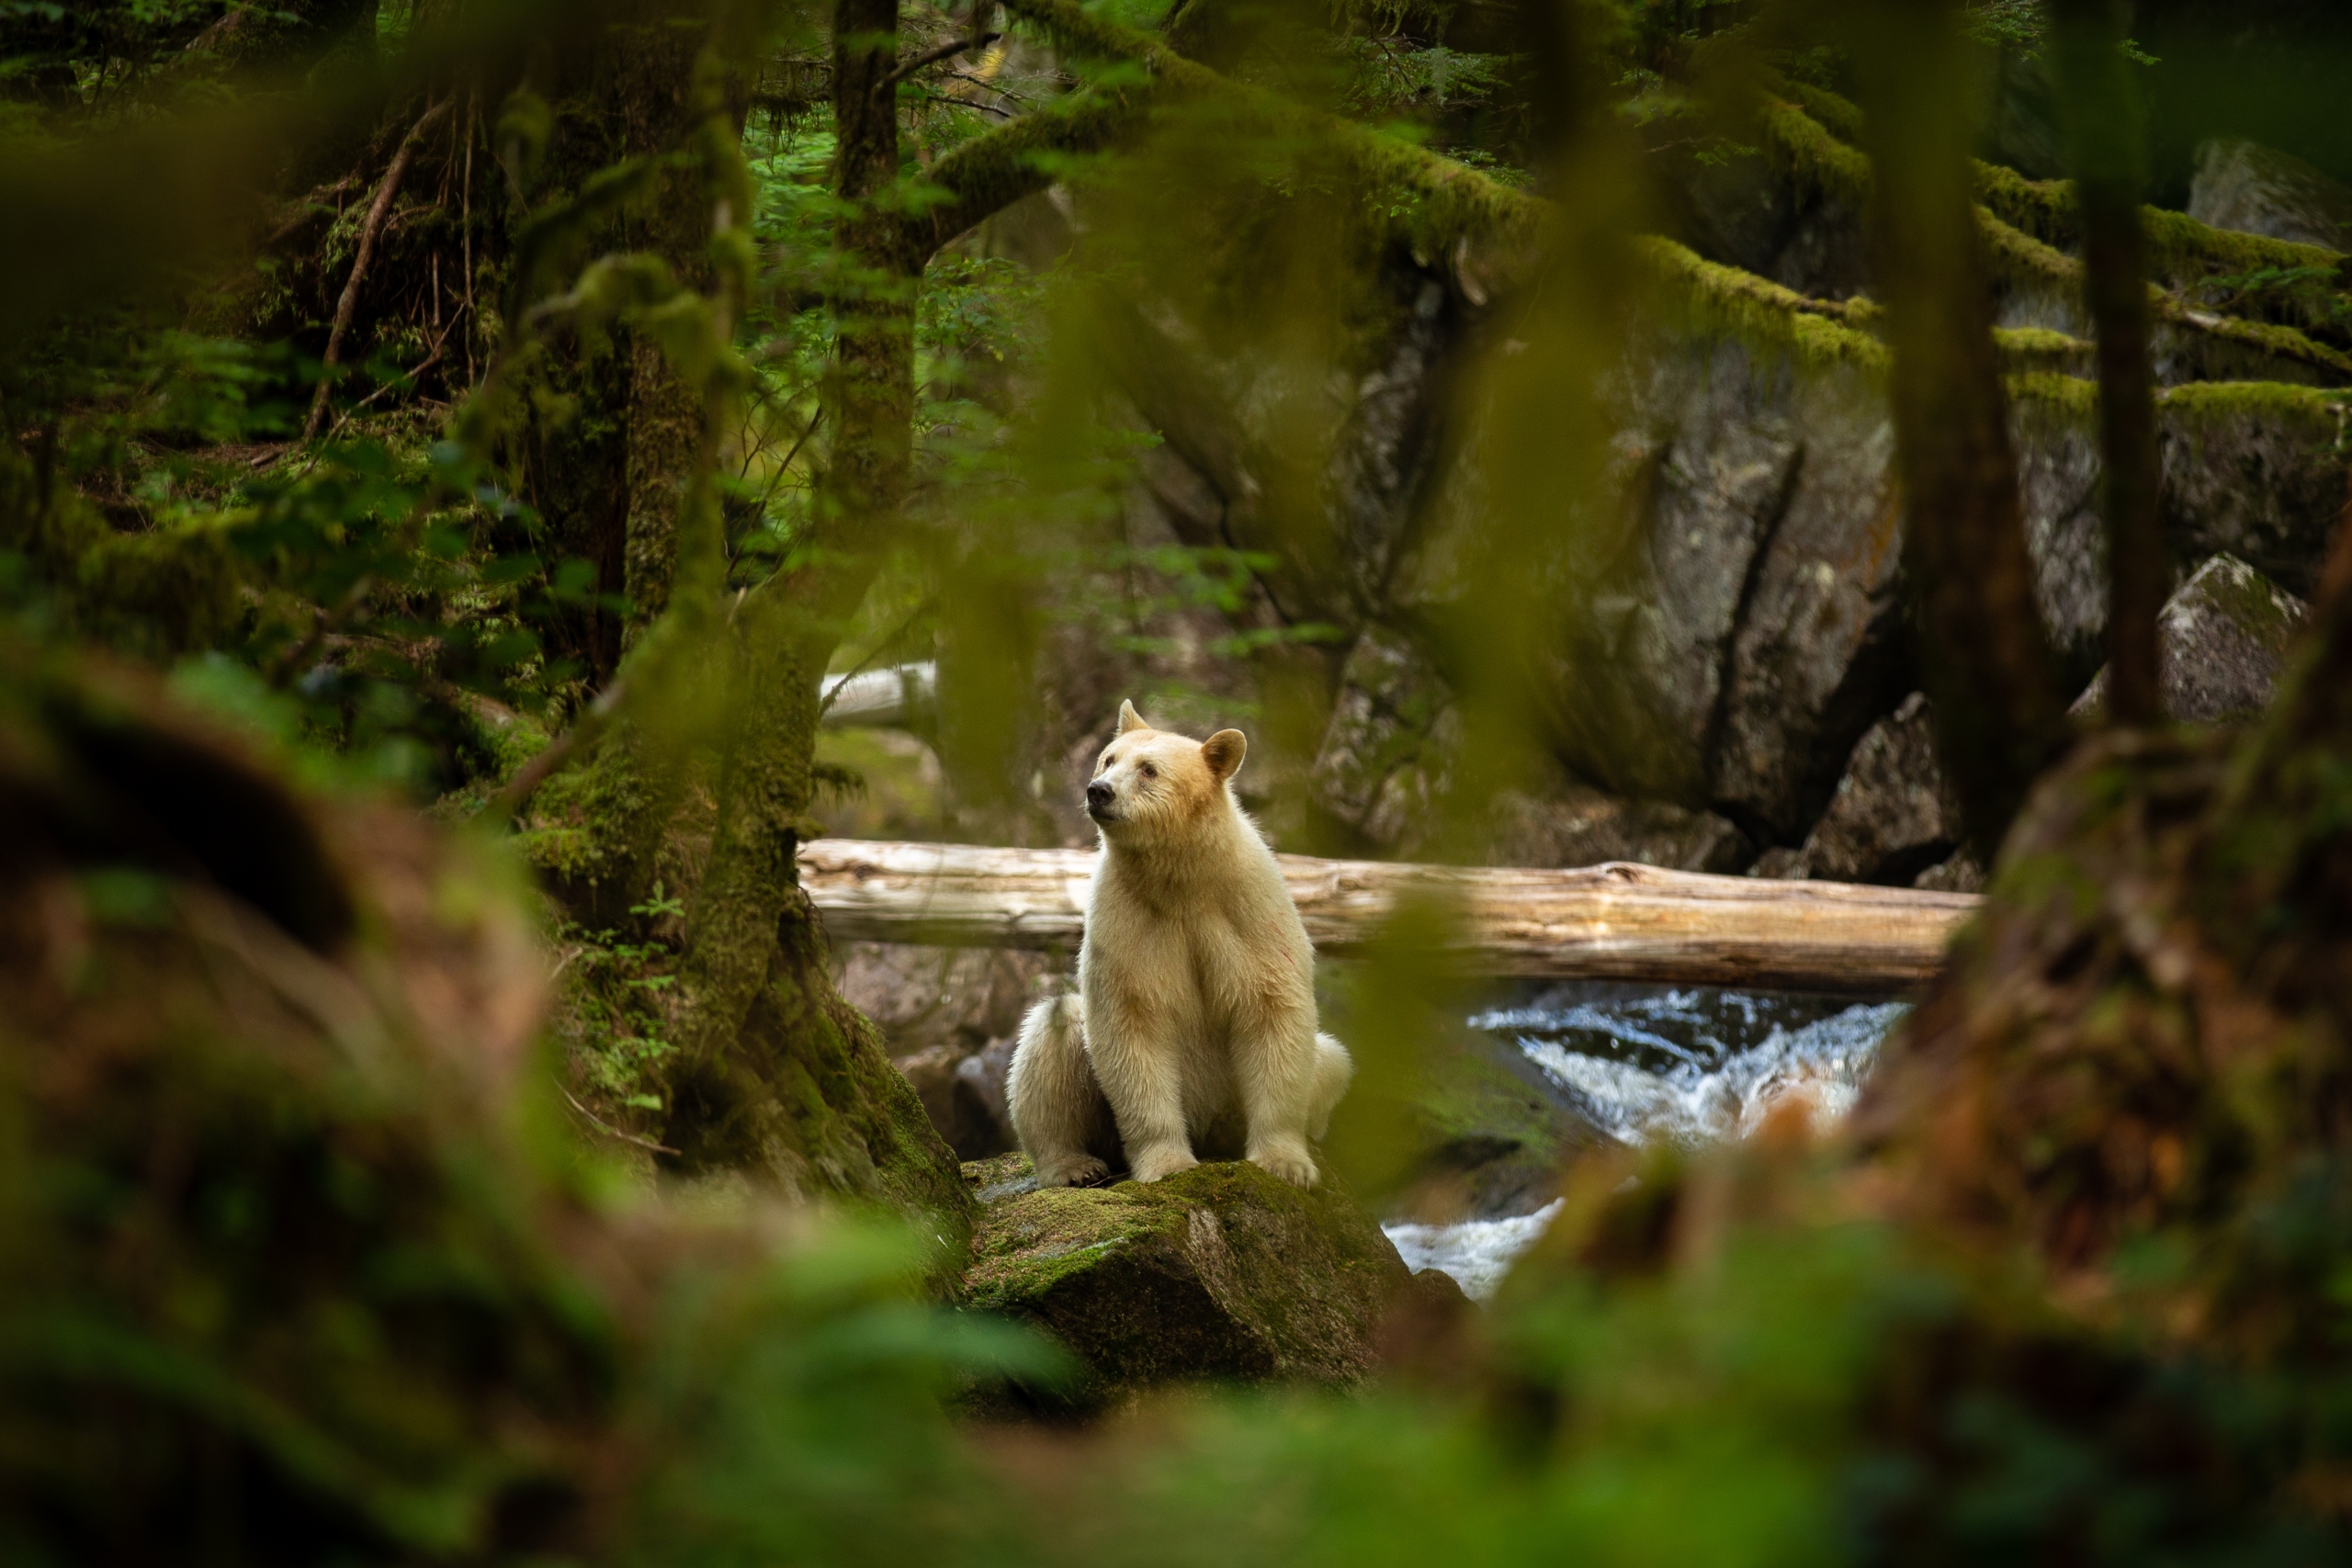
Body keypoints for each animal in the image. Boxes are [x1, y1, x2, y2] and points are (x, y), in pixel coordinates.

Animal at [1001, 700, 1354, 1189]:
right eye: (1108, 759)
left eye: (1148, 769)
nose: (1098, 792)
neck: (1182, 881)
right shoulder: (1127, 916)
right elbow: (1132, 1021)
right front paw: (1167, 1164)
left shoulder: (1248, 909)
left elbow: (1272, 1010)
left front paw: (1285, 1164)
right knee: (1052, 1032)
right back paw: (1074, 1166)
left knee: (1332, 1060)